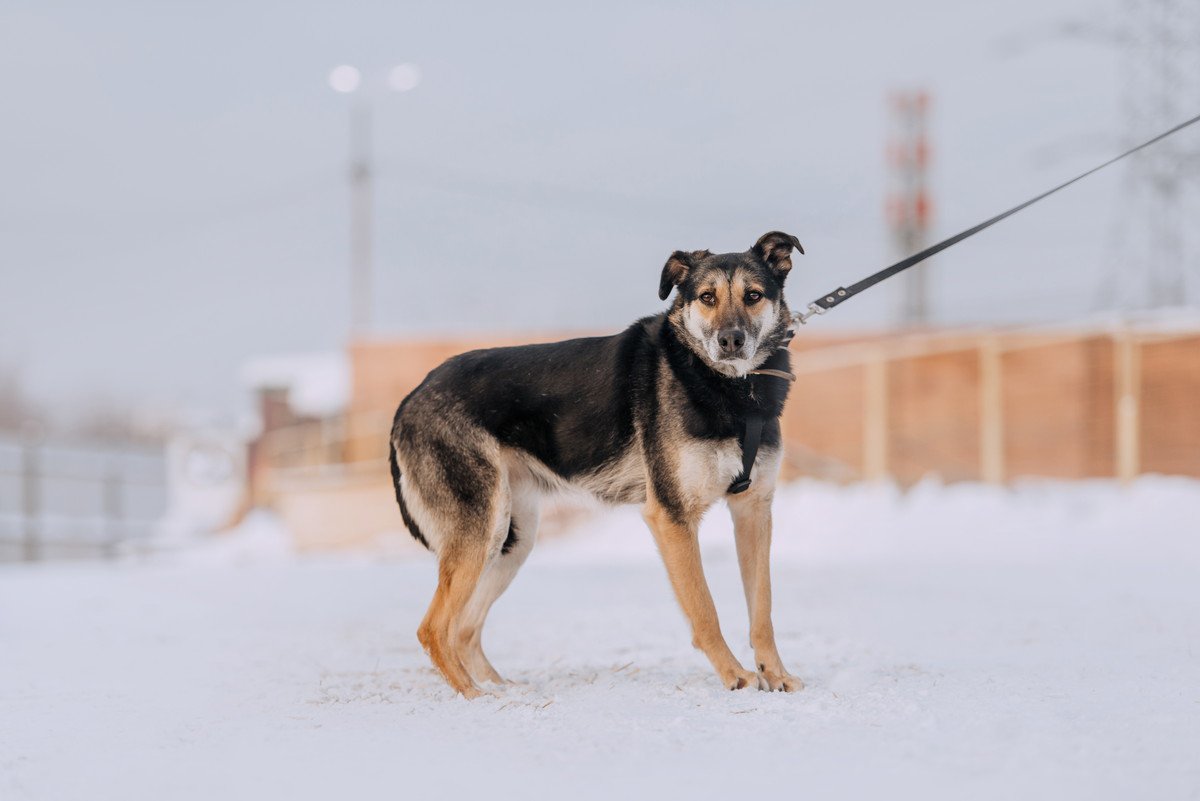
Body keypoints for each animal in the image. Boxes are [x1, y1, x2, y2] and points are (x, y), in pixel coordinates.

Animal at [391, 230, 806, 695]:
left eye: (753, 295)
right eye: (707, 297)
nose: (730, 341)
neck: (732, 389)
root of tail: (411, 398)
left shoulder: (753, 512)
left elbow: (762, 609)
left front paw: (776, 674)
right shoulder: (672, 518)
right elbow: (704, 608)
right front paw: (735, 676)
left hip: (512, 539)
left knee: (462, 629)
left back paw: (503, 689)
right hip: (481, 530)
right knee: (433, 628)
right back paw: (475, 696)